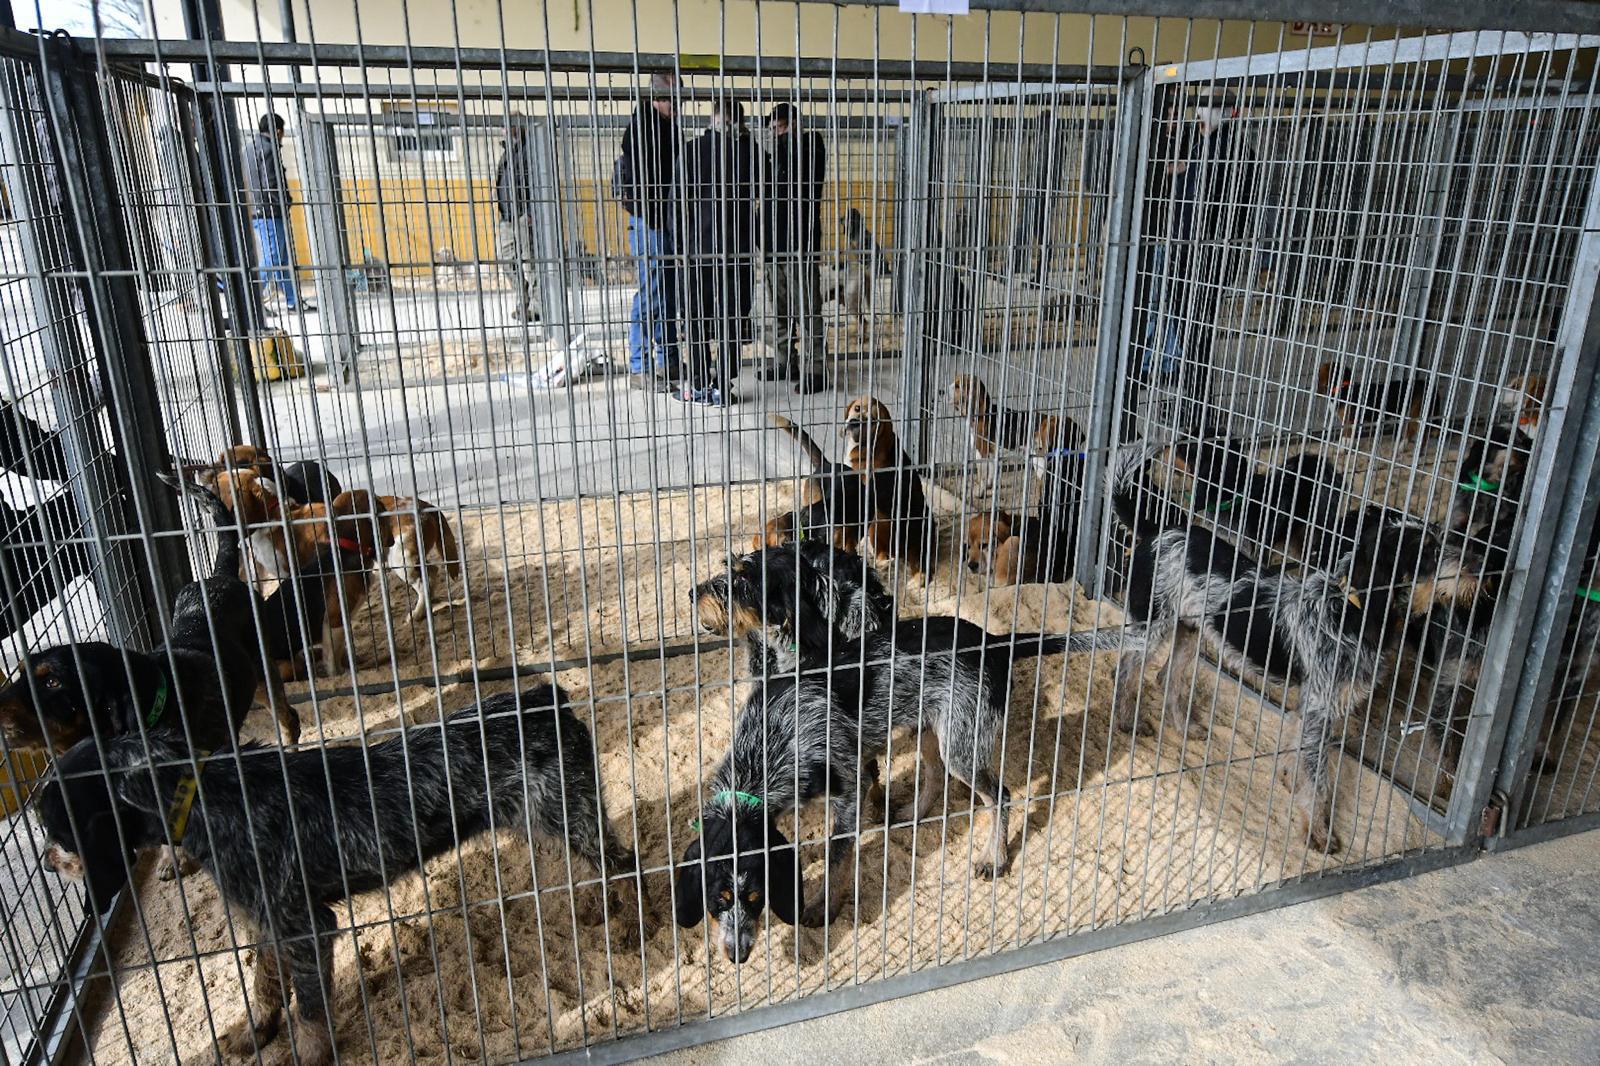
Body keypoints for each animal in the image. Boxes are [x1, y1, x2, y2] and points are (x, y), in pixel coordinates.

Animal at [37, 681, 640, 1062]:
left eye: (56, 826)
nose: (45, 860)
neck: (205, 792)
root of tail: (545, 697)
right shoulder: (266, 921)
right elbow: (264, 985)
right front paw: (252, 1032)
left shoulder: (307, 927)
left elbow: (308, 1012)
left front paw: (307, 1053)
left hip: (568, 810)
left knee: (623, 862)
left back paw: (631, 925)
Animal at [1113, 444, 1440, 851]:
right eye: (1423, 552)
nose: (1465, 554)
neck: (1348, 609)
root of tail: (1159, 531)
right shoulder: (1319, 706)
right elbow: (1317, 782)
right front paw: (1318, 833)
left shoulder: (1313, 704)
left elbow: (1297, 752)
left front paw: (1289, 781)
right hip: (1150, 626)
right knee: (1127, 669)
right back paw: (1127, 721)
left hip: (1188, 633)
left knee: (1167, 677)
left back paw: (1184, 728)